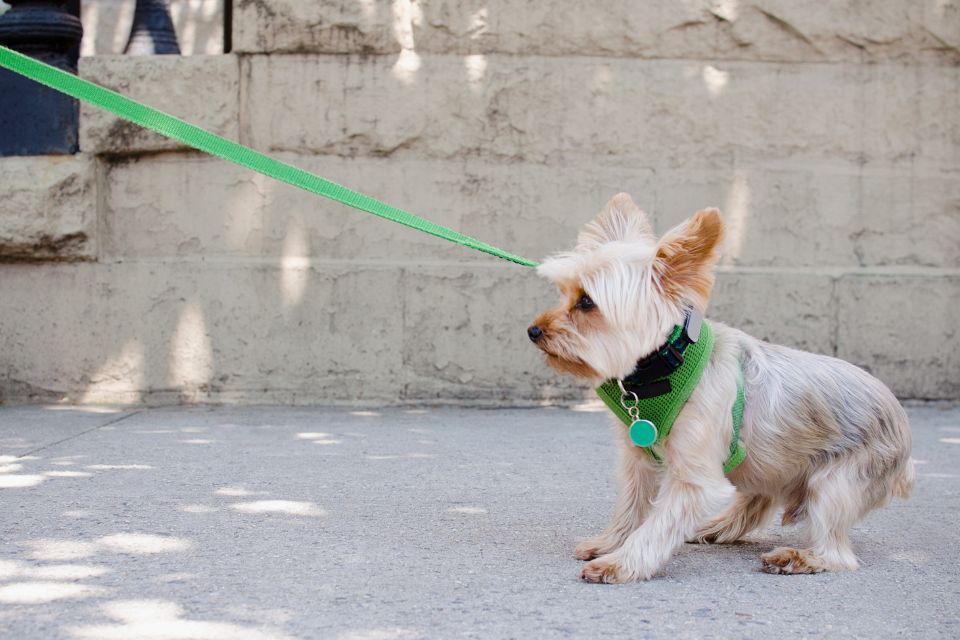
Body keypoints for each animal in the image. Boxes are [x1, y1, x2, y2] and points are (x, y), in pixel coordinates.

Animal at [532, 192, 916, 584]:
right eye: (564, 293)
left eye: (587, 302)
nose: (534, 331)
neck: (664, 365)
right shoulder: (637, 460)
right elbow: (630, 505)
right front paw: (610, 542)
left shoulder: (693, 476)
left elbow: (658, 524)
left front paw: (622, 563)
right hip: (772, 463)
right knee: (759, 499)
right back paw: (717, 528)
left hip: (839, 480)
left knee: (836, 550)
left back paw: (799, 558)